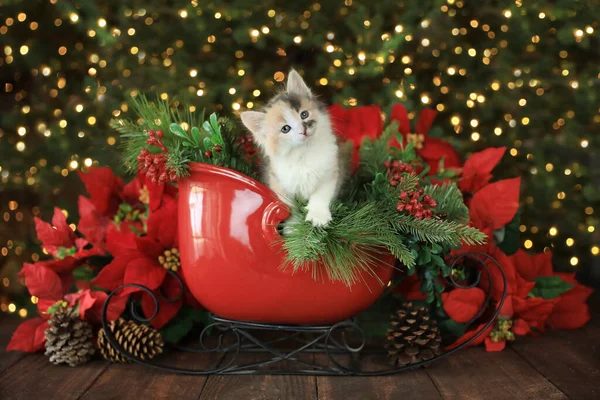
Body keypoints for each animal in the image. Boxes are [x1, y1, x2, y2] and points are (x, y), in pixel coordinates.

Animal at [240, 68, 342, 225]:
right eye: (285, 129)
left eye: (304, 114)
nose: (303, 130)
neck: (303, 151)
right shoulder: (278, 183)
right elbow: (290, 209)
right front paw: (293, 226)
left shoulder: (330, 172)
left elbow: (321, 195)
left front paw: (318, 216)